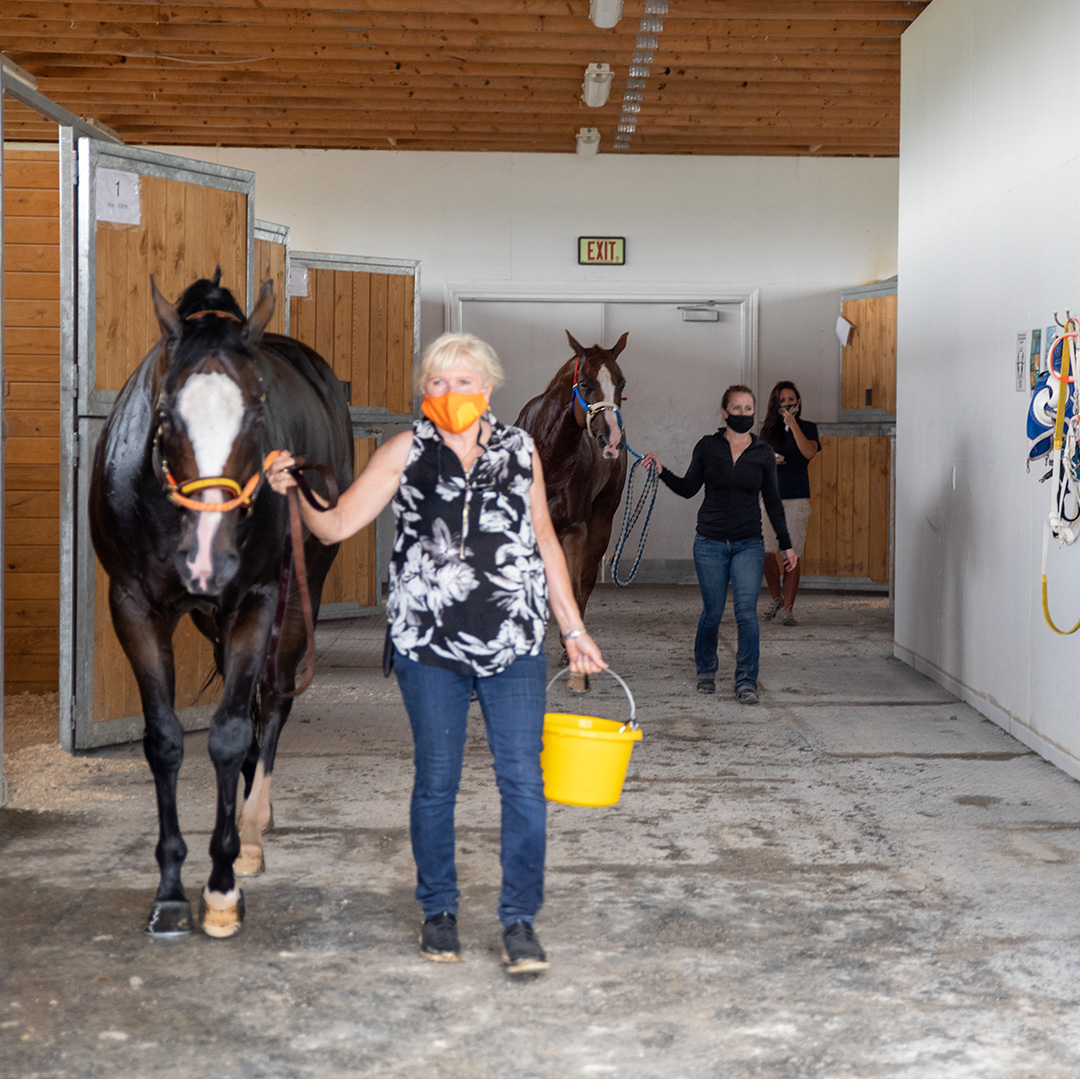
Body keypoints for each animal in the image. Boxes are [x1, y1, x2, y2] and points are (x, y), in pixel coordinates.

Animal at [89, 270, 349, 937]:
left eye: (257, 413)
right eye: (164, 415)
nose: (209, 558)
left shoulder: (256, 603)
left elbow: (230, 734)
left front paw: (223, 885)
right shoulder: (133, 608)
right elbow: (165, 741)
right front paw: (171, 893)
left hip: (297, 594)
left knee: (274, 699)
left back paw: (253, 825)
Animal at [516, 328, 630, 643]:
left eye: (621, 382)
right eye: (586, 383)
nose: (612, 441)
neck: (549, 458)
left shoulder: (575, 530)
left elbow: (574, 587)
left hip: (602, 519)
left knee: (586, 581)